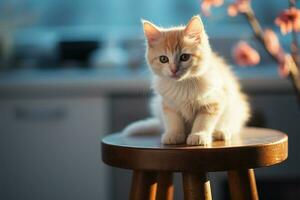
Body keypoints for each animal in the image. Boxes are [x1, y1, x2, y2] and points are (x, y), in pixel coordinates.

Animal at [123, 15, 250, 145]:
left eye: (184, 57)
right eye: (163, 59)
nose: (173, 69)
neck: (183, 86)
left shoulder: (212, 102)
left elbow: (203, 122)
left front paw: (198, 135)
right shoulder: (169, 104)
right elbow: (173, 121)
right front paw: (174, 134)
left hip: (236, 108)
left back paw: (221, 131)